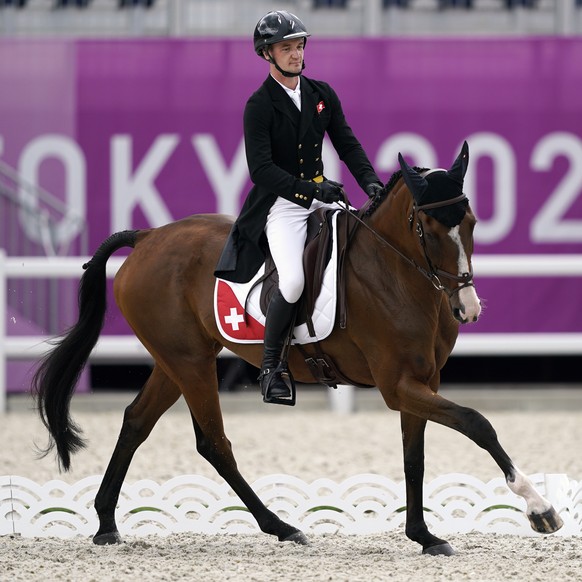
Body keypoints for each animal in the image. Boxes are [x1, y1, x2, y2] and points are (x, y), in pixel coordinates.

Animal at [33, 144, 564, 560]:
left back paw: (106, 524)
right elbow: (478, 423)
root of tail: (147, 237)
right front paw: (540, 509)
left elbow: (415, 457)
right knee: (214, 443)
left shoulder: (422, 382)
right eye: (428, 228)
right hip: (189, 363)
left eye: (470, 221)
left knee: (137, 422)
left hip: (177, 360)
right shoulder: (398, 386)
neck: (396, 273)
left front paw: (424, 535)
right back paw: (282, 526)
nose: (466, 308)